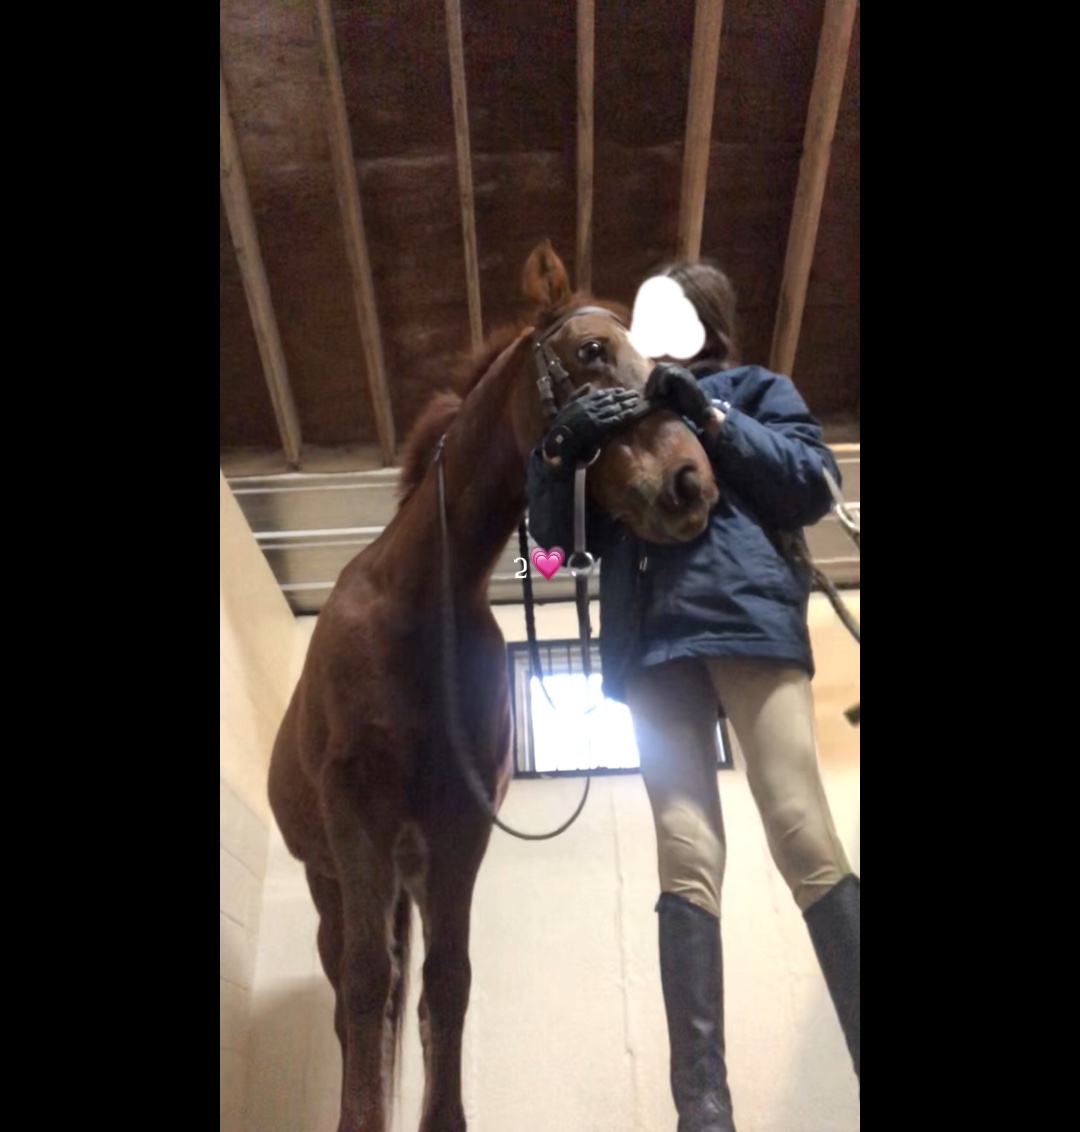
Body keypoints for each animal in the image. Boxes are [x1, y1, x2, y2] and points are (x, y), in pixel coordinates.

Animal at [267, 239, 721, 1132]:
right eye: (590, 351)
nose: (692, 483)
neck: (420, 604)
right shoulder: (356, 807)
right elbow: (367, 984)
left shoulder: (460, 823)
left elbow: (448, 981)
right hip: (329, 875)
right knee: (351, 989)